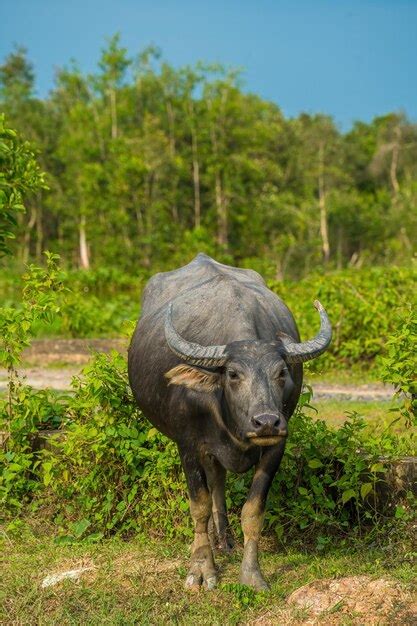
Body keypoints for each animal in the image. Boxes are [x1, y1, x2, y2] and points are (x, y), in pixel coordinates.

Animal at [127, 251, 332, 588]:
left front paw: (251, 574)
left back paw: (224, 540)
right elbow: (198, 505)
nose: (266, 422)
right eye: (234, 374)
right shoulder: (188, 445)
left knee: (219, 481)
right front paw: (201, 570)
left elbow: (253, 510)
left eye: (281, 372)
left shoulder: (276, 446)